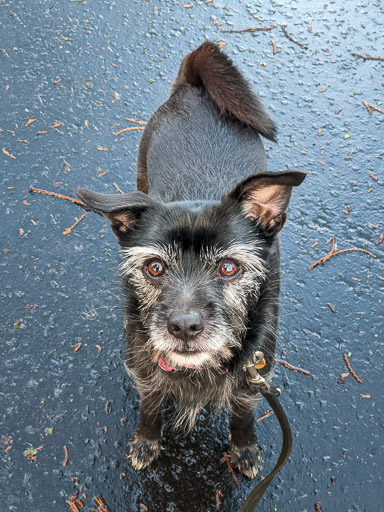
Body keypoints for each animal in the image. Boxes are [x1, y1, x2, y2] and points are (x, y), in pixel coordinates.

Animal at [76, 42, 308, 478]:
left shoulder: (253, 375)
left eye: (229, 267)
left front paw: (244, 449)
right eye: (154, 267)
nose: (184, 327)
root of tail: (195, 88)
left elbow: (242, 416)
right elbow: (150, 408)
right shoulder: (145, 372)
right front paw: (146, 441)